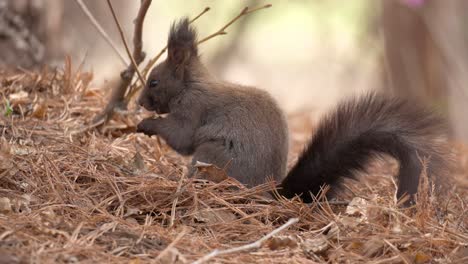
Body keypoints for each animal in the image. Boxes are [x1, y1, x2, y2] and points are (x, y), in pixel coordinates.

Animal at [136, 18, 450, 204]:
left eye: (154, 82)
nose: (139, 102)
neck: (190, 84)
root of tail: (273, 194)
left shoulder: (193, 108)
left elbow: (181, 137)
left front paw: (147, 125)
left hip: (212, 157)